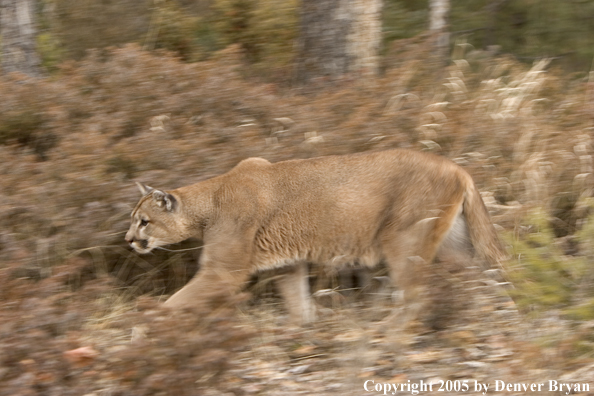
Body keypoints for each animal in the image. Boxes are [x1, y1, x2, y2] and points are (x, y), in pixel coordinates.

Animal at [125, 150, 504, 324]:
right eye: (134, 220)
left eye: (144, 222)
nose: (128, 240)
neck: (210, 201)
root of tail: (456, 166)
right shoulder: (286, 264)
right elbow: (297, 301)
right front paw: (305, 327)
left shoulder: (222, 272)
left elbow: (175, 303)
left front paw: (143, 329)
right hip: (452, 245)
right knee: (475, 280)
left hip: (403, 242)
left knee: (416, 295)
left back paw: (391, 332)